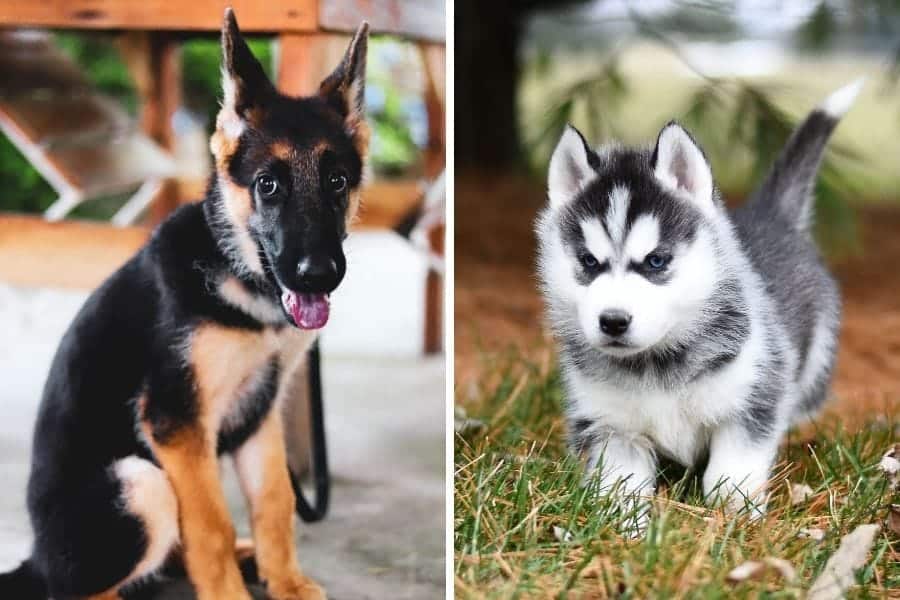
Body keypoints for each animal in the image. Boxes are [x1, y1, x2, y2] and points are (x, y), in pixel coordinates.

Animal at [0, 9, 366, 600]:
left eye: (337, 181)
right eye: (268, 185)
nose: (319, 274)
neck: (239, 278)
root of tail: (35, 561)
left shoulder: (259, 414)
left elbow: (275, 502)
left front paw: (285, 580)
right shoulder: (177, 422)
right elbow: (211, 522)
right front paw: (229, 593)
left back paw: (248, 559)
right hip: (138, 481)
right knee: (86, 585)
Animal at [536, 81, 856, 524]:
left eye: (656, 261)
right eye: (588, 262)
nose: (613, 321)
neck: (655, 364)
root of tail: (771, 216)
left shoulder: (751, 403)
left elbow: (731, 470)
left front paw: (734, 517)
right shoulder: (613, 427)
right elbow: (621, 487)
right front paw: (625, 528)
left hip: (814, 364)